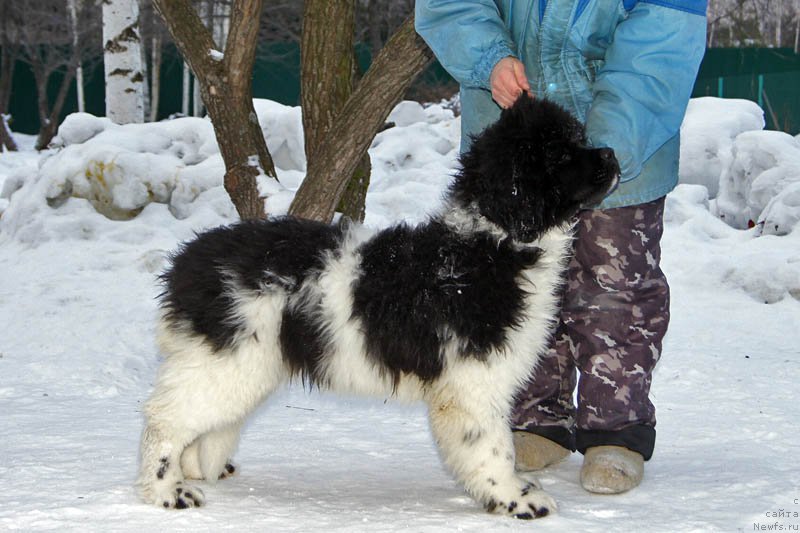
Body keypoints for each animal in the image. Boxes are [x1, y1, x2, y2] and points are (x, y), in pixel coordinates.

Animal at [138, 94, 620, 516]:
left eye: (577, 137)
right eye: (557, 155)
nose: (612, 154)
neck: (491, 246)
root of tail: (187, 261)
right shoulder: (471, 382)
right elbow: (492, 446)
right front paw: (514, 499)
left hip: (241, 364)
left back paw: (194, 470)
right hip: (226, 360)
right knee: (164, 419)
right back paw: (166, 490)